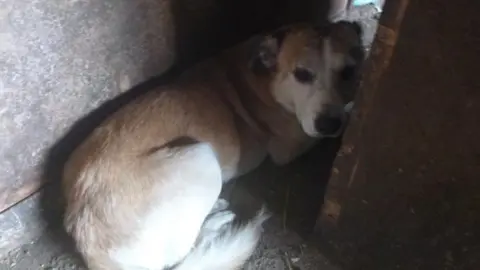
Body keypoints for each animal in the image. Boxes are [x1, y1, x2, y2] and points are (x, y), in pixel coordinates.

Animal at [62, 21, 364, 270]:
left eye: (348, 71)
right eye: (302, 74)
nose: (329, 124)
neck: (264, 79)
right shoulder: (291, 144)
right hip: (202, 155)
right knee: (185, 253)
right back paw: (216, 220)